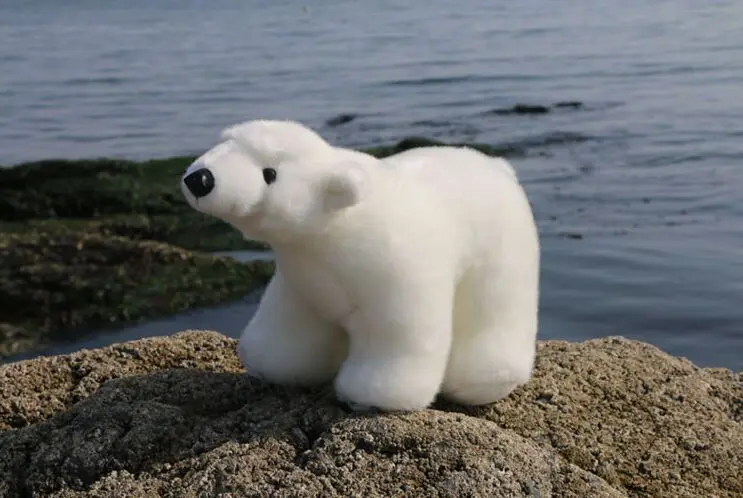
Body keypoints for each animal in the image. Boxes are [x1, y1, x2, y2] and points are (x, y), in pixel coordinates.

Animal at [181, 119, 540, 412]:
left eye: (270, 174)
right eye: (228, 144)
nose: (201, 179)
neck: (333, 227)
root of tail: (499, 167)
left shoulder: (393, 268)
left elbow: (398, 333)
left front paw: (372, 396)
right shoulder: (302, 275)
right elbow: (293, 323)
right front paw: (269, 362)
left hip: (502, 246)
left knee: (495, 307)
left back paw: (484, 380)